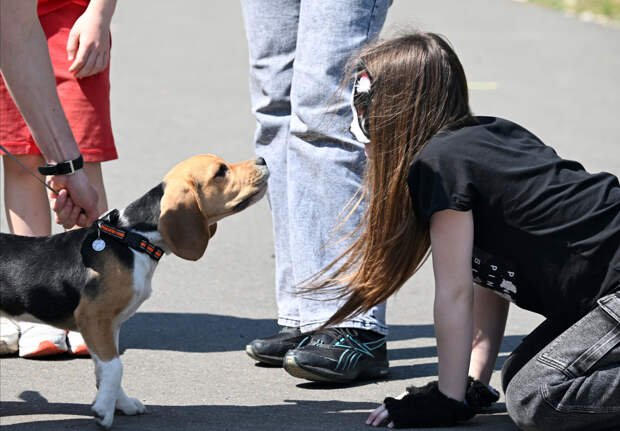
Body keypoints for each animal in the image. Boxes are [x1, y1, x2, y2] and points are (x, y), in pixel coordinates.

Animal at [1, 154, 270, 428]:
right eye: (220, 172)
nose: (262, 159)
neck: (134, 239)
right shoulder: (93, 317)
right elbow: (114, 367)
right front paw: (104, 411)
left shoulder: (109, 326)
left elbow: (106, 369)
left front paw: (121, 403)